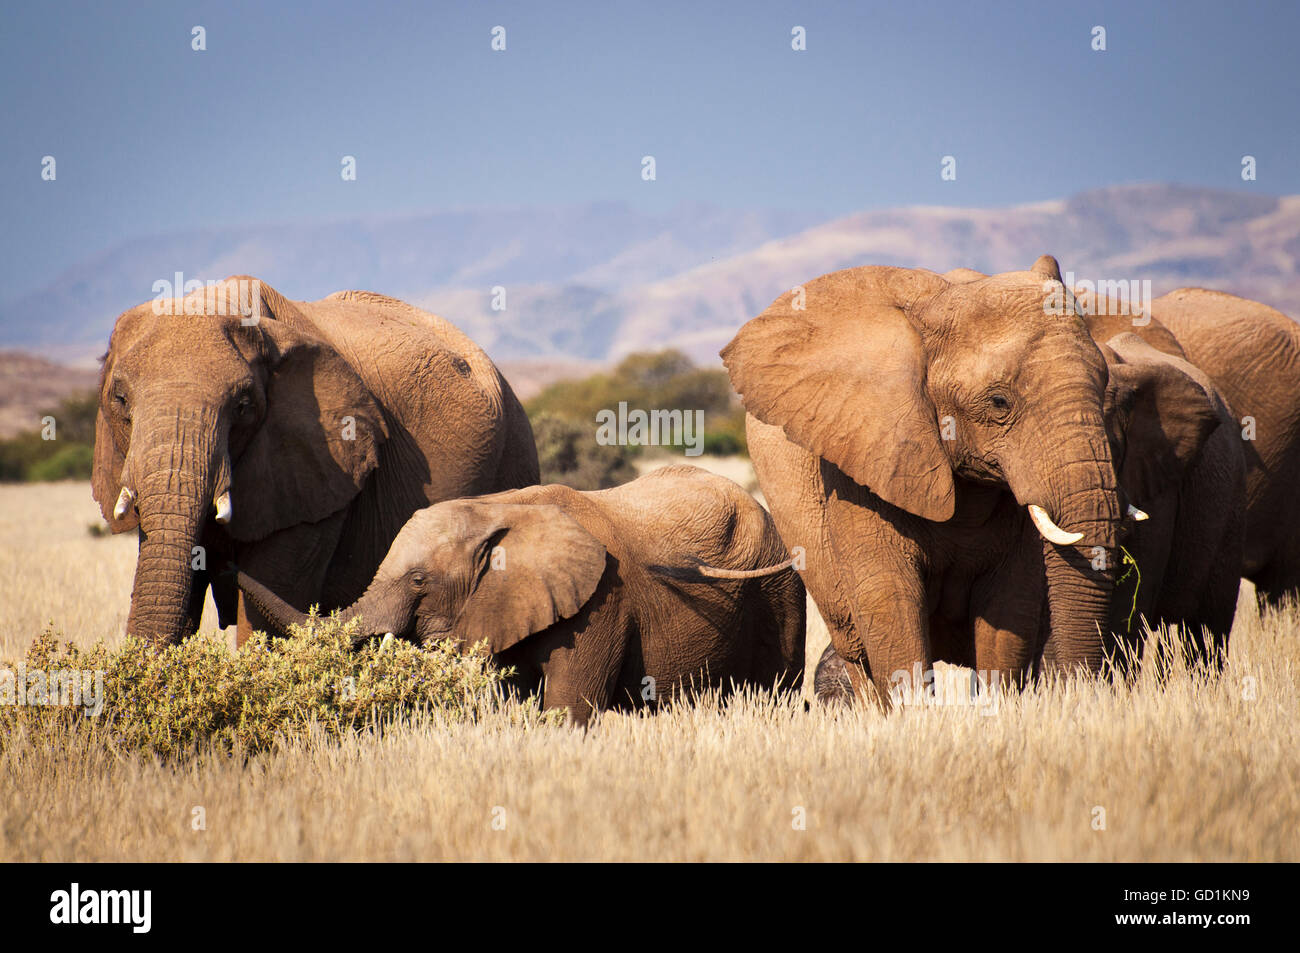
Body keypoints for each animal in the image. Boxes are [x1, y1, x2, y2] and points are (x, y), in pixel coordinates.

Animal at [92, 276, 538, 647]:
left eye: (243, 406)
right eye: (120, 400)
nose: (230, 570)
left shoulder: (319, 470)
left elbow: (268, 609)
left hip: (515, 451)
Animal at [235, 462, 800, 722]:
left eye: (418, 581)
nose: (225, 551)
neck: (498, 509)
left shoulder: (603, 601)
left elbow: (567, 711)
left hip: (778, 585)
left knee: (778, 689)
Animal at [722, 258, 1149, 696]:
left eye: (1104, 387)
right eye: (999, 402)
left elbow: (1009, 611)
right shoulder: (862, 459)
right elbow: (890, 601)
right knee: (855, 648)